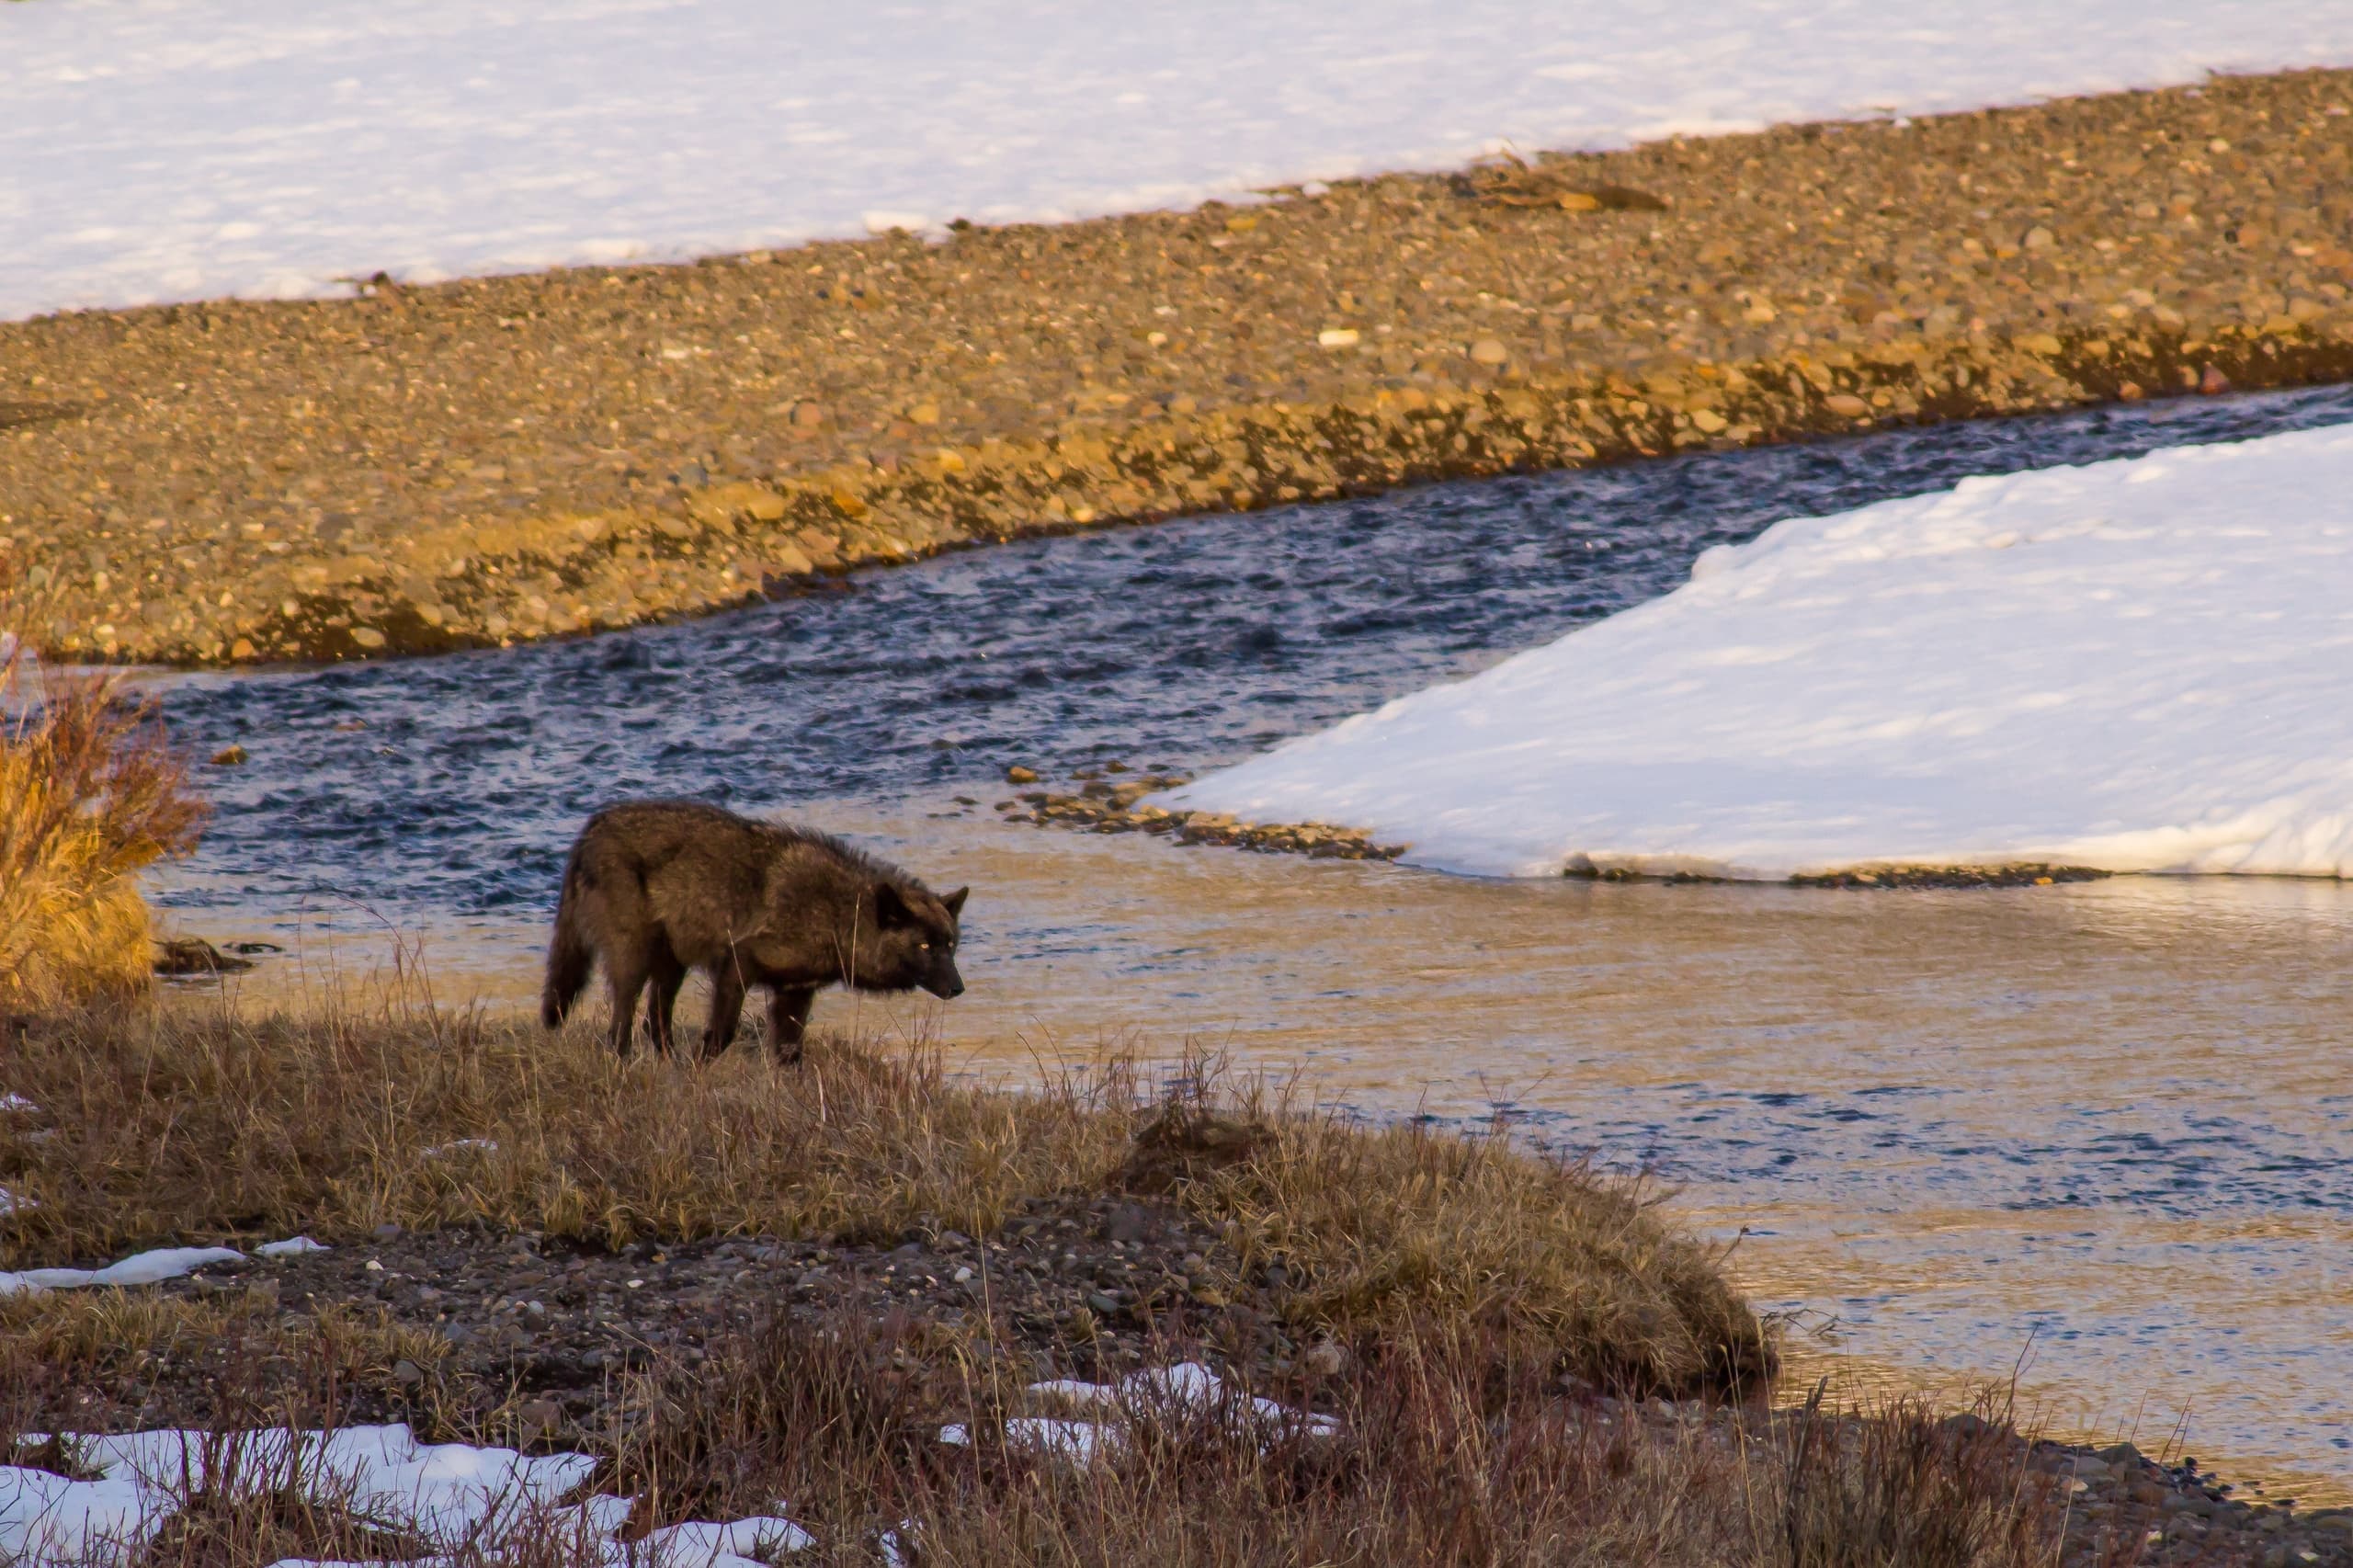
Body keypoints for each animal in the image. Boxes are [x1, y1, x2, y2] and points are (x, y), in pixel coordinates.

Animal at [540, 799, 966, 1062]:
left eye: (950, 945)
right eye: (924, 946)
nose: (959, 988)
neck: (836, 915)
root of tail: (590, 830)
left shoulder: (795, 993)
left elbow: (791, 1055)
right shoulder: (736, 966)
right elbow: (720, 1036)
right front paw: (698, 1075)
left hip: (671, 966)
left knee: (654, 1024)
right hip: (635, 961)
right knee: (621, 1026)